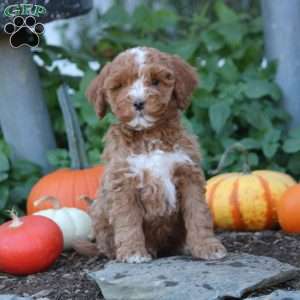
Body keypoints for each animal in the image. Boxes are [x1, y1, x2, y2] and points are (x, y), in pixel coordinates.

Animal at [76, 46, 226, 262]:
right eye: (120, 85)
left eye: (156, 81)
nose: (138, 102)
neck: (149, 134)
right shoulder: (123, 181)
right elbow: (128, 219)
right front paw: (133, 252)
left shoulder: (189, 174)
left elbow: (198, 213)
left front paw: (207, 246)